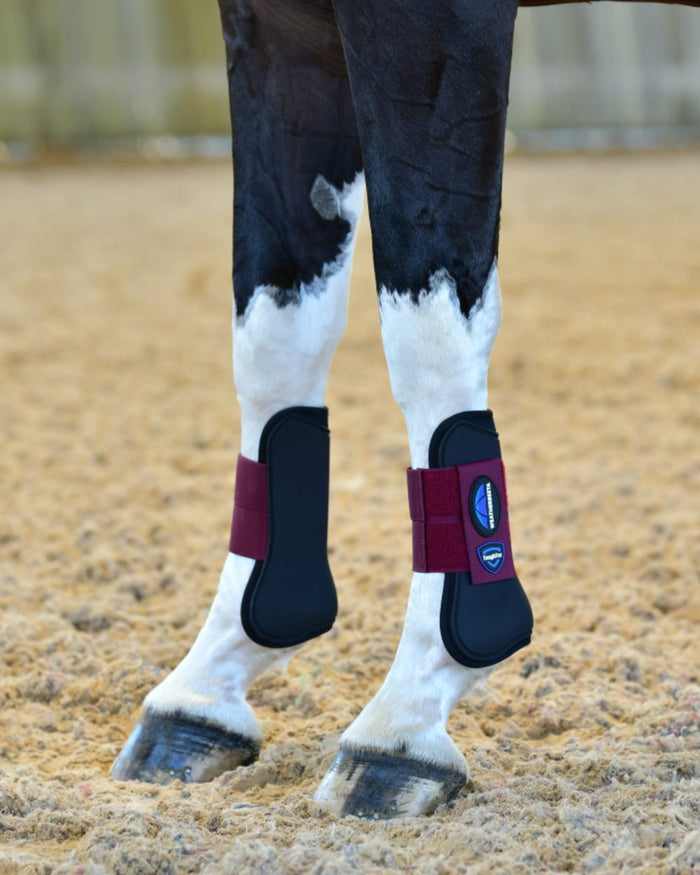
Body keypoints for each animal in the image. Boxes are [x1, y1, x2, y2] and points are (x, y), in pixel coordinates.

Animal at [110, 0, 700, 819]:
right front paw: (203, 690)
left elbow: (426, 339)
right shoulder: (277, 32)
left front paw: (406, 718)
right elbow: (274, 340)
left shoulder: (432, 31)